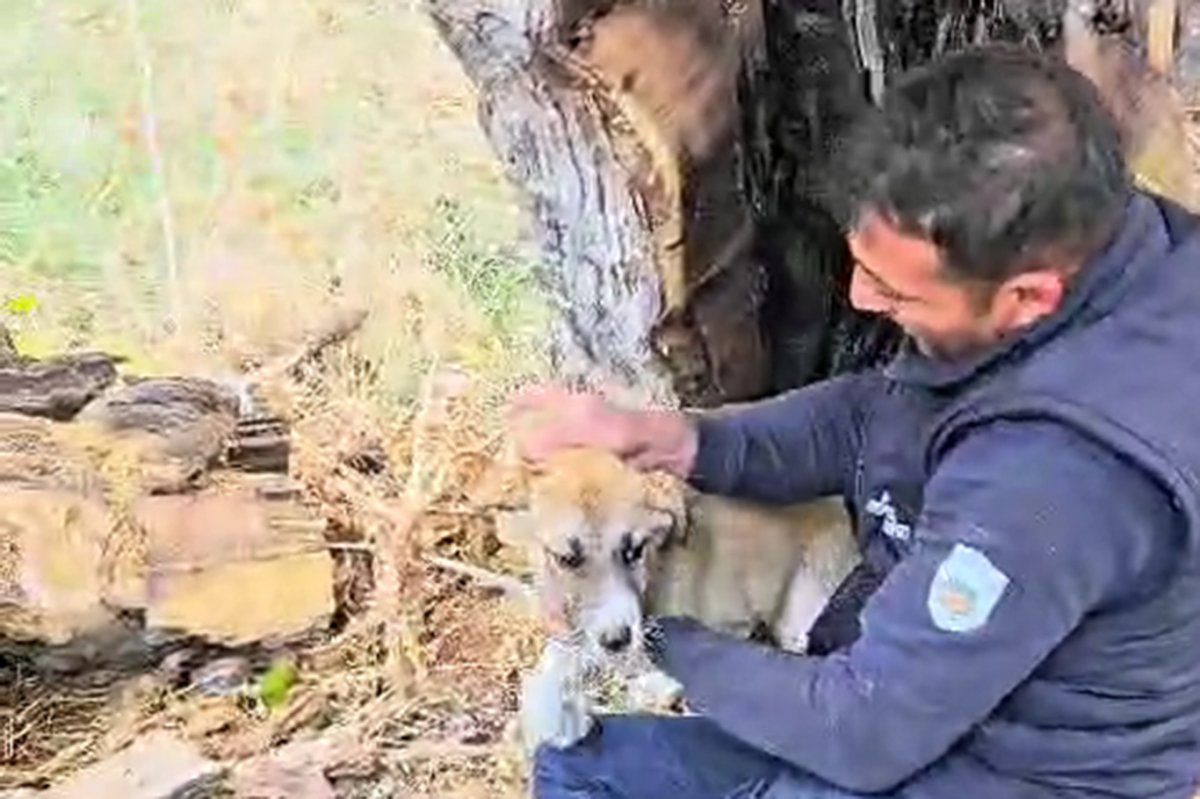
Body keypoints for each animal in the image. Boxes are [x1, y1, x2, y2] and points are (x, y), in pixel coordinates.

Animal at [501, 443, 859, 748]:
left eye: (634, 550)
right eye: (567, 559)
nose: (617, 640)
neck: (658, 571)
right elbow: (557, 660)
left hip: (800, 612)